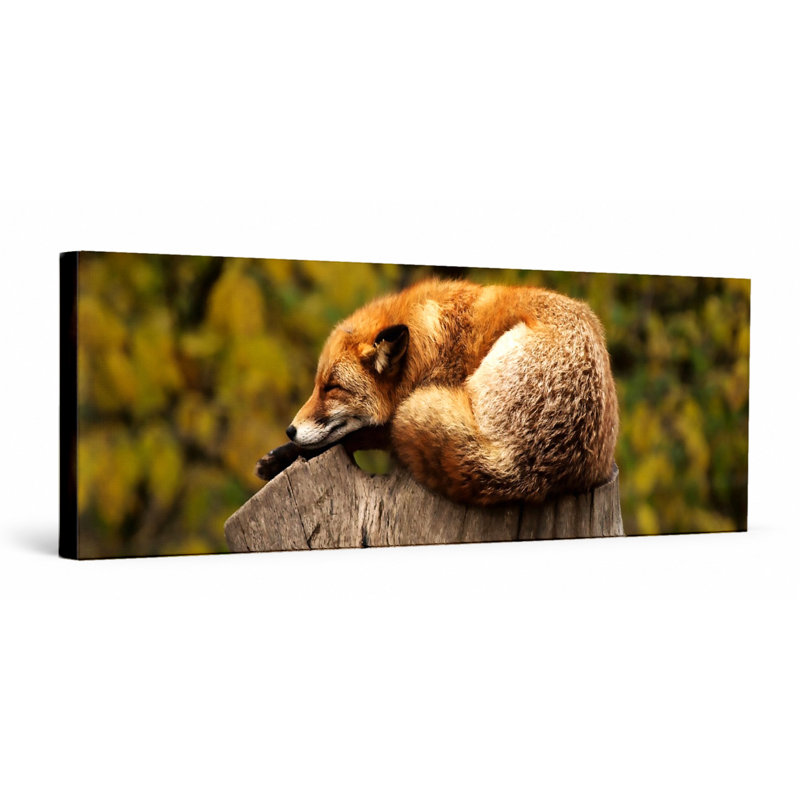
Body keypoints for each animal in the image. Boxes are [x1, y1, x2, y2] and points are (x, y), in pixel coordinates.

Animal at [256, 278, 619, 505]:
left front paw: (285, 456)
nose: (290, 430)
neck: (430, 345)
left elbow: (354, 436)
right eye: (317, 385)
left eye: (333, 388)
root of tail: (518, 466)